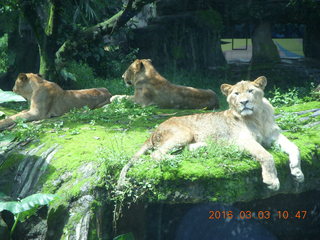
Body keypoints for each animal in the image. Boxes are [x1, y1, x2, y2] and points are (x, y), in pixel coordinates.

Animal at [118, 76, 304, 190]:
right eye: (236, 94)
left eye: (251, 91)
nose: (244, 102)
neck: (258, 116)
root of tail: (154, 130)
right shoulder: (243, 140)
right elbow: (266, 155)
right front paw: (272, 180)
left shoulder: (274, 135)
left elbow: (294, 147)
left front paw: (297, 172)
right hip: (183, 133)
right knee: (156, 155)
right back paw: (177, 158)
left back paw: (201, 147)